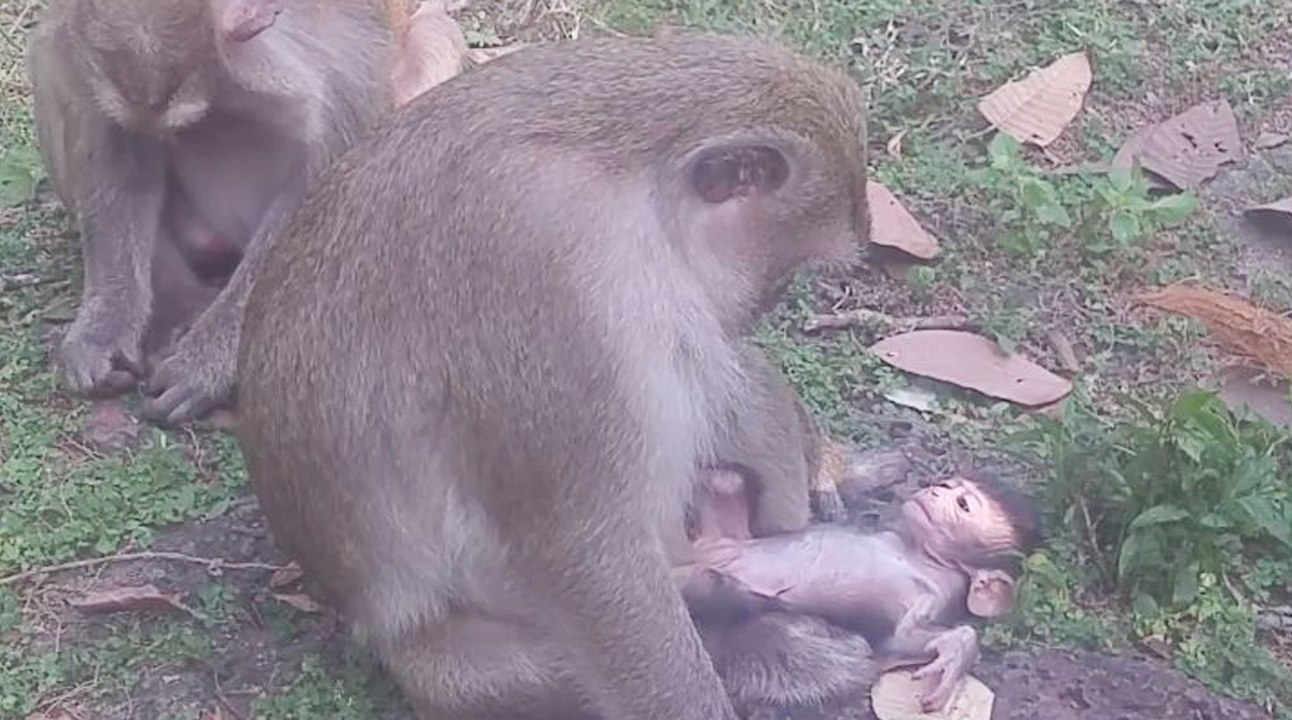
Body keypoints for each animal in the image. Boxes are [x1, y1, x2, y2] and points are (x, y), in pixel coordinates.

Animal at [26, 0, 462, 424]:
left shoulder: (345, 60)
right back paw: (177, 302)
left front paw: (204, 365)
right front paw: (105, 329)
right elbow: (115, 136)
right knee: (48, 53)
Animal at [235, 33, 870, 720]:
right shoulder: (547, 270)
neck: (630, 186)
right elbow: (584, 549)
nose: (756, 309)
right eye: (785, 271)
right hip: (452, 651)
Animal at [677, 470, 1043, 712]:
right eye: (948, 486)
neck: (917, 551)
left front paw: (957, 651)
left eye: (963, 504)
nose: (936, 491)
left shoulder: (932, 597)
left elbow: (899, 638)